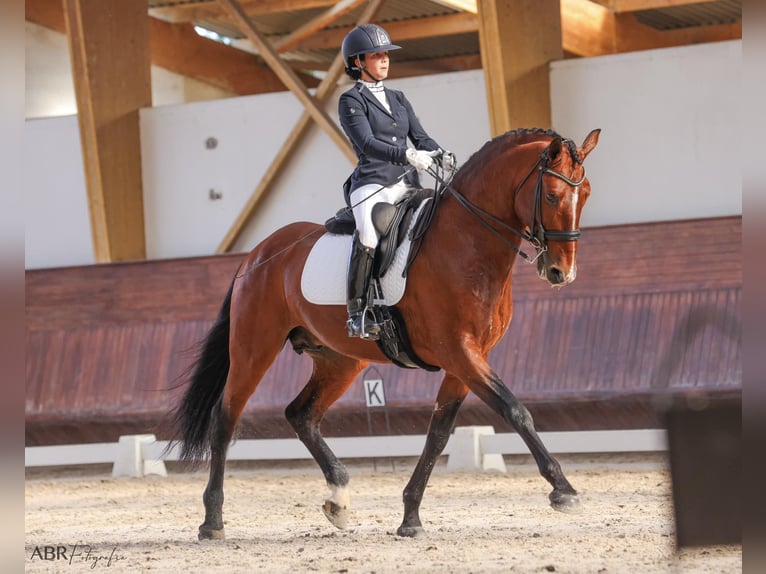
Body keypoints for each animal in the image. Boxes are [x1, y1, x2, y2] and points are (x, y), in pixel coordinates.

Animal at [171, 125, 604, 540]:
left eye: (585, 195)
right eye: (552, 195)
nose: (562, 273)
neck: (466, 243)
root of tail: (257, 253)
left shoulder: (467, 358)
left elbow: (439, 434)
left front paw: (410, 516)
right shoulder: (459, 352)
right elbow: (515, 410)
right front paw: (564, 490)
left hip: (341, 360)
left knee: (301, 414)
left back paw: (339, 498)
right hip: (254, 349)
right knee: (225, 418)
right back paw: (212, 521)